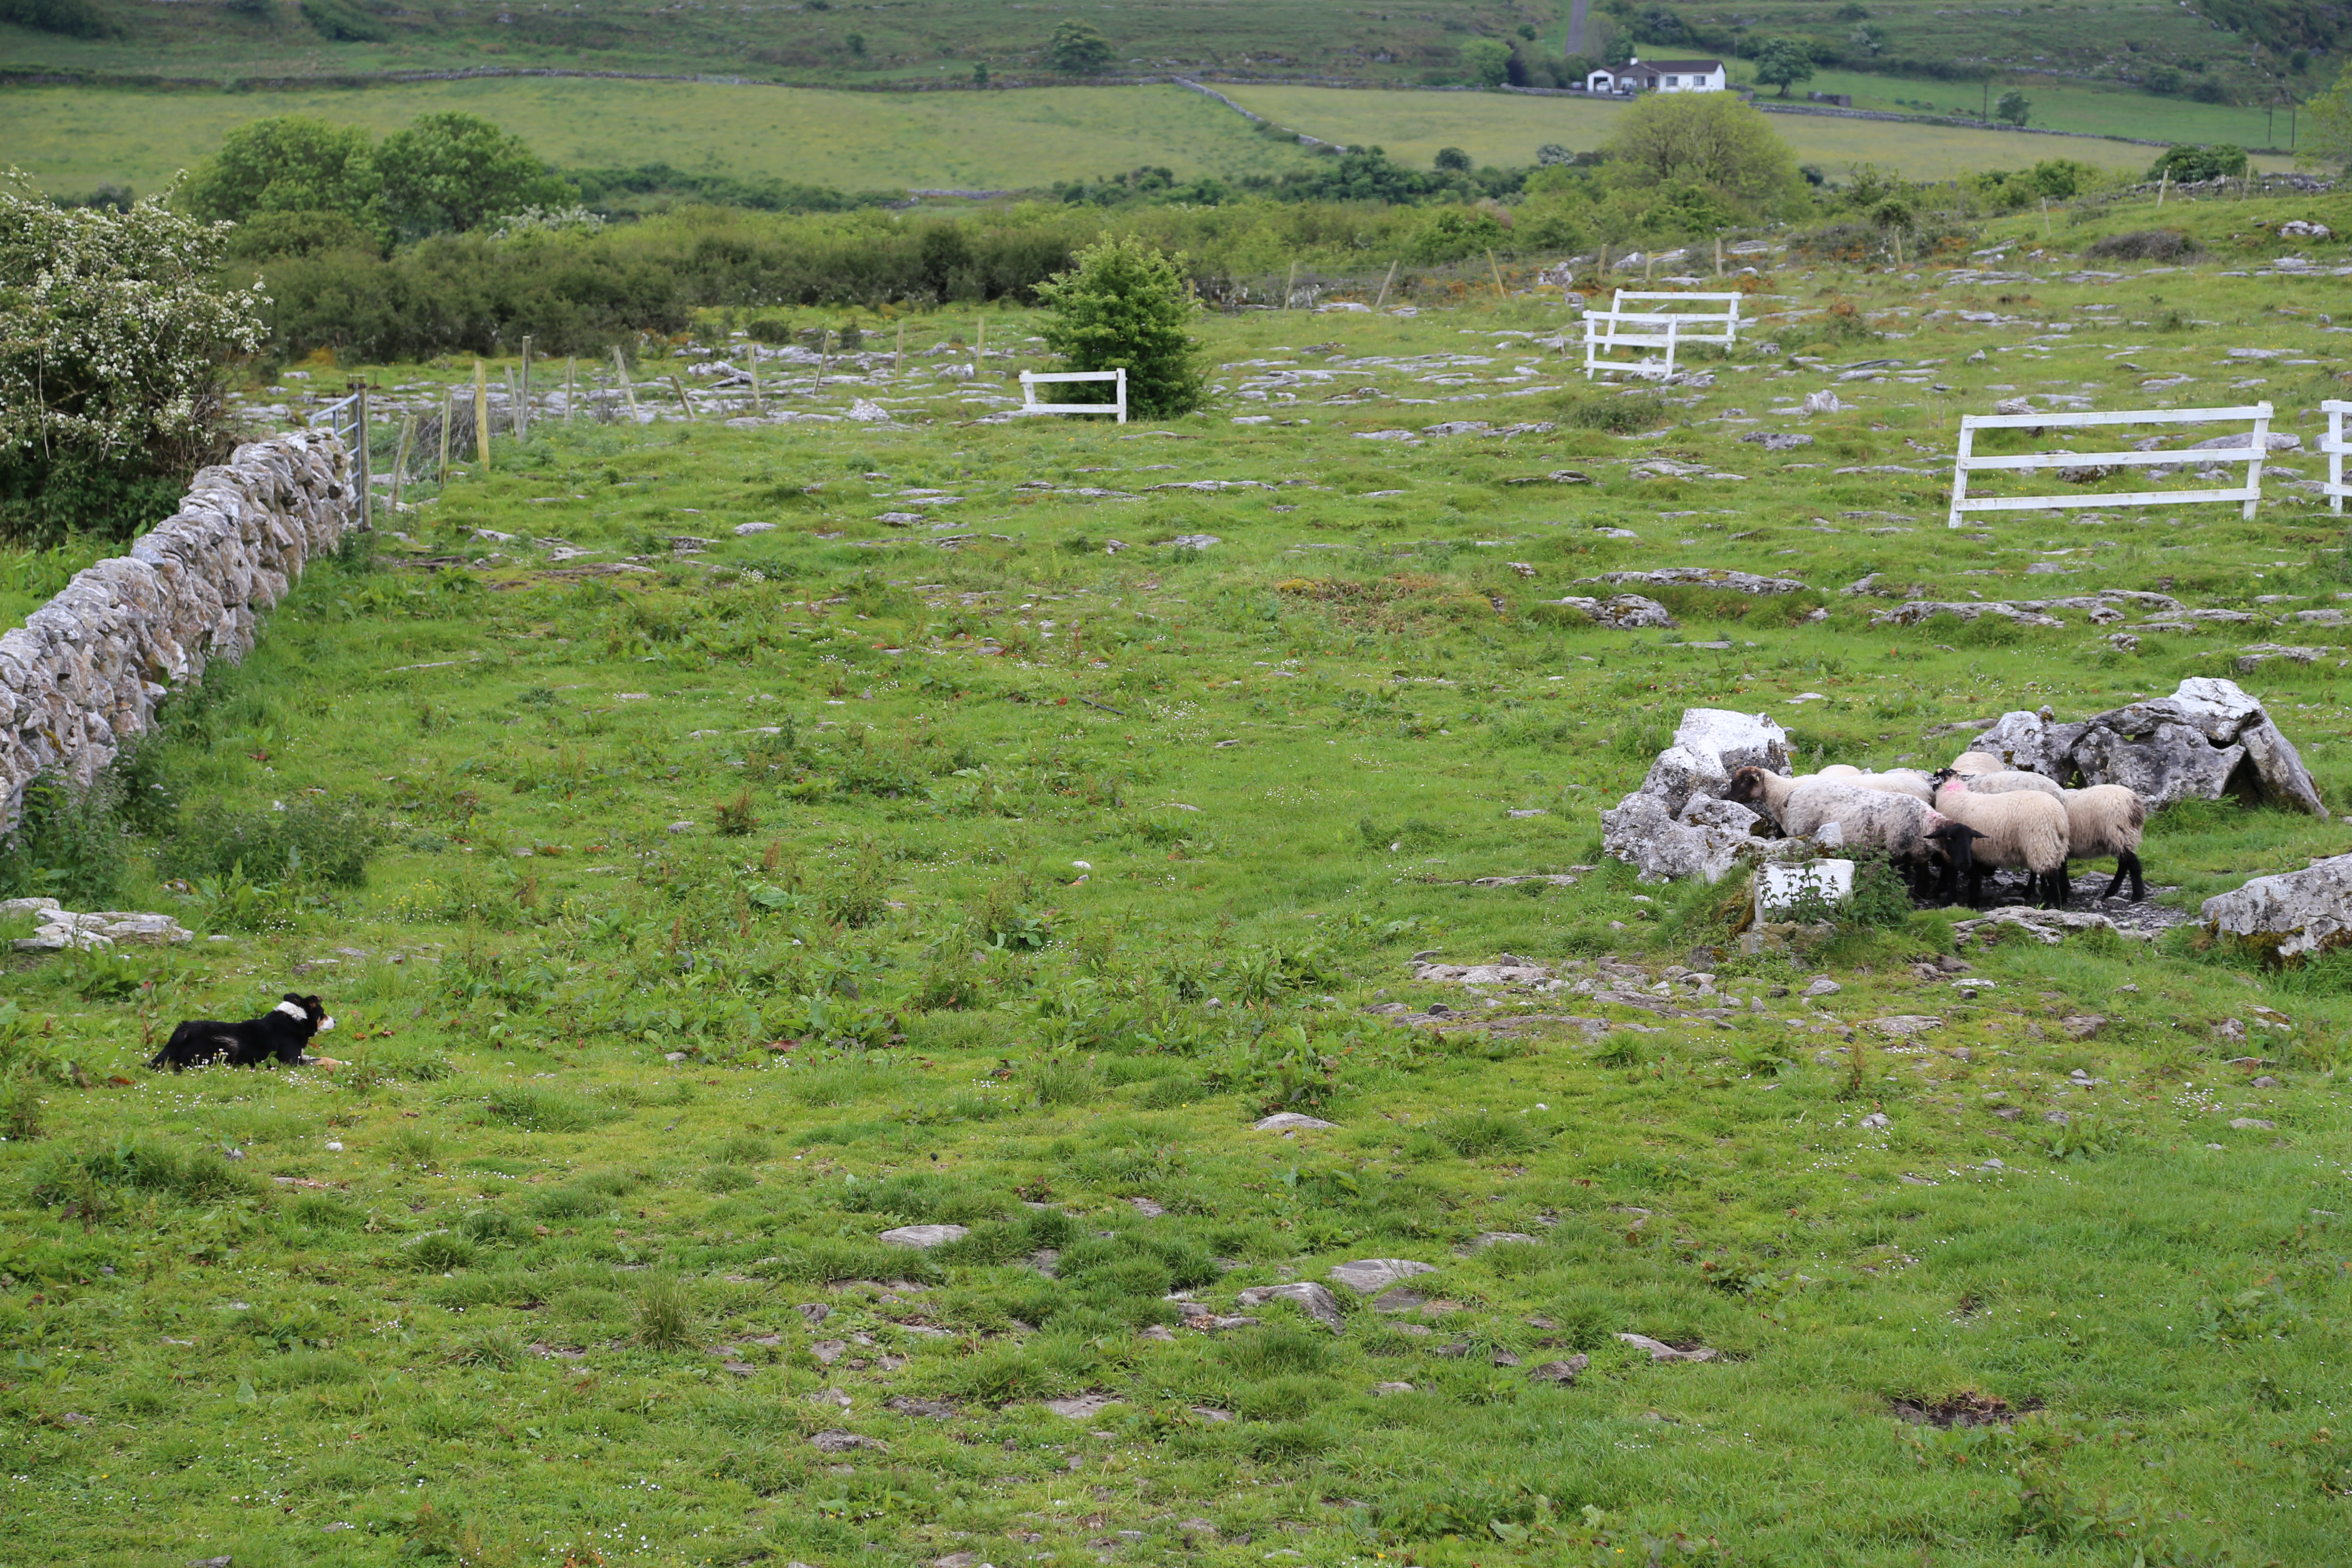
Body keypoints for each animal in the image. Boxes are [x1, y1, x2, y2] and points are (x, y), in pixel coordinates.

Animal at [144, 1001, 343, 1072]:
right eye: (322, 1014)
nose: (335, 1021)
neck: (293, 1020)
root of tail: (182, 1031)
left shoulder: (300, 1056)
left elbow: (318, 1057)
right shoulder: (291, 1061)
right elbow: (320, 1059)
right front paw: (340, 1063)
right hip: (228, 1046)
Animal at [1938, 771, 2070, 907]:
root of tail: (2059, 818)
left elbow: (1955, 873)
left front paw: (1954, 897)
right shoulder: (1974, 852)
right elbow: (1973, 876)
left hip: (2040, 843)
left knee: (2051, 875)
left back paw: (2054, 902)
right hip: (2055, 844)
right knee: (2057, 867)